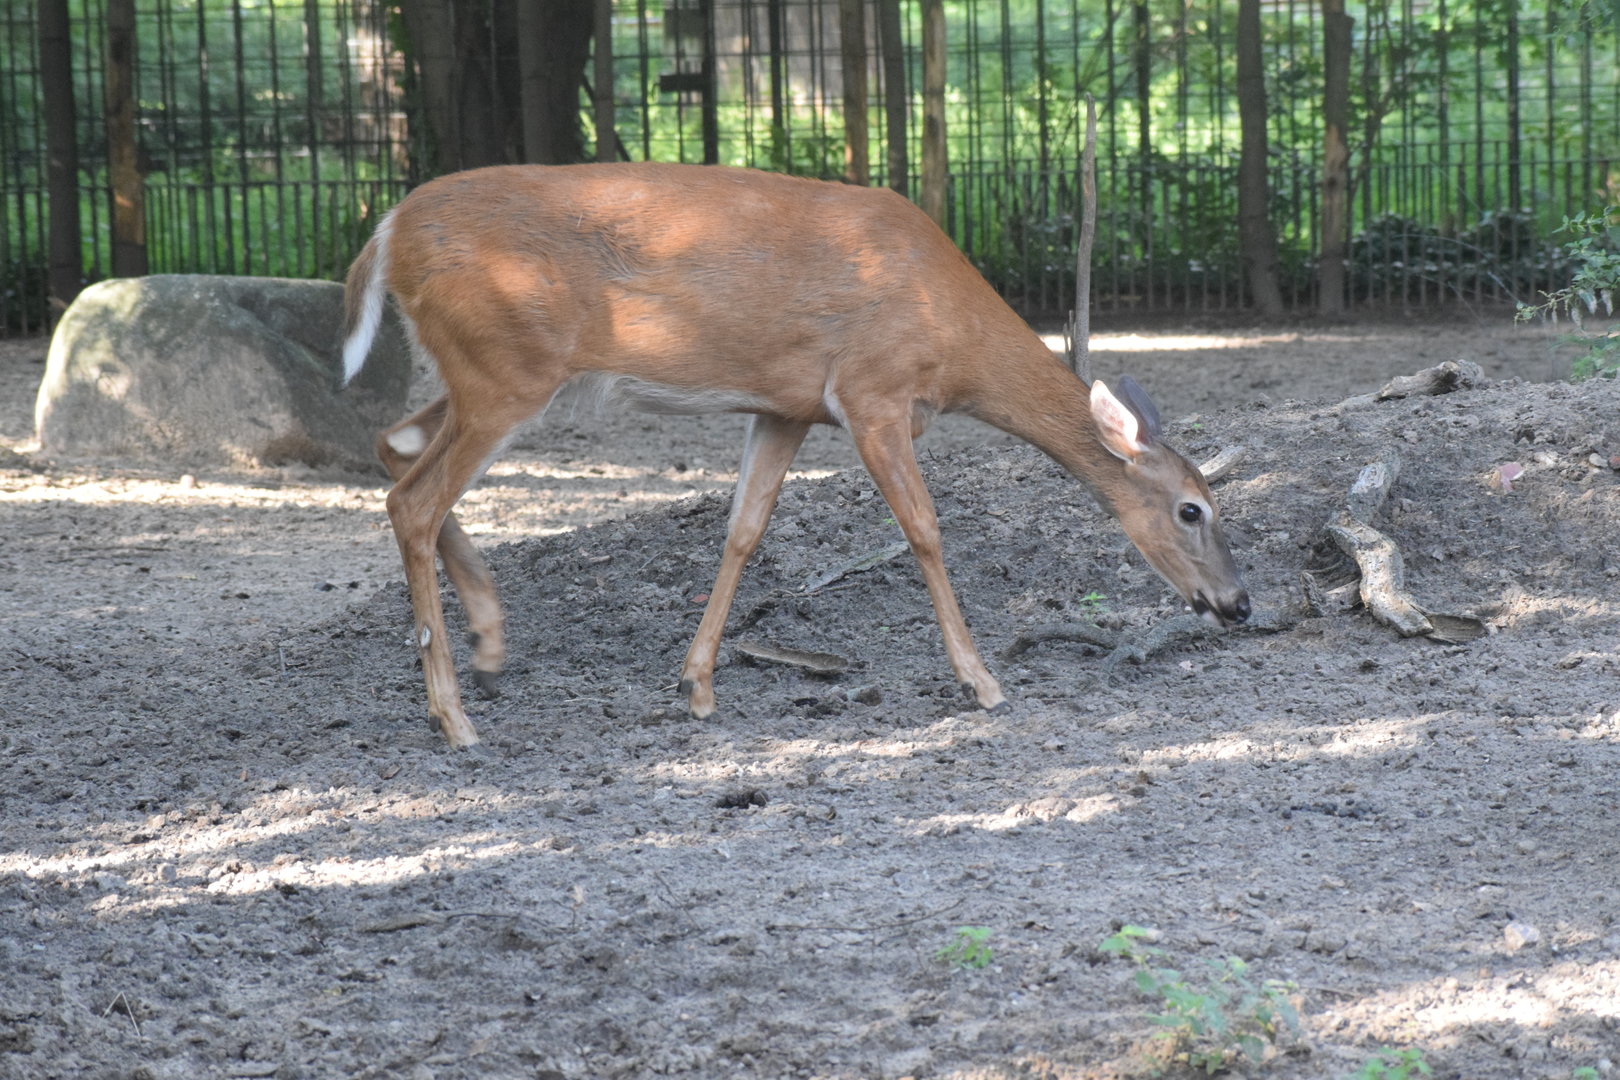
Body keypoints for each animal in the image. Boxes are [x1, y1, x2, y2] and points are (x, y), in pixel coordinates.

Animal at [341, 162, 1250, 749]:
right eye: (1192, 508)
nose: (1238, 604)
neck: (953, 338)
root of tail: (385, 234)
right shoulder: (873, 392)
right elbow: (925, 530)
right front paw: (981, 681)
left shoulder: (785, 408)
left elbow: (744, 529)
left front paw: (697, 685)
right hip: (506, 367)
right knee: (411, 498)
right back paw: (454, 718)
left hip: (481, 371)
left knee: (393, 444)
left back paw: (491, 642)